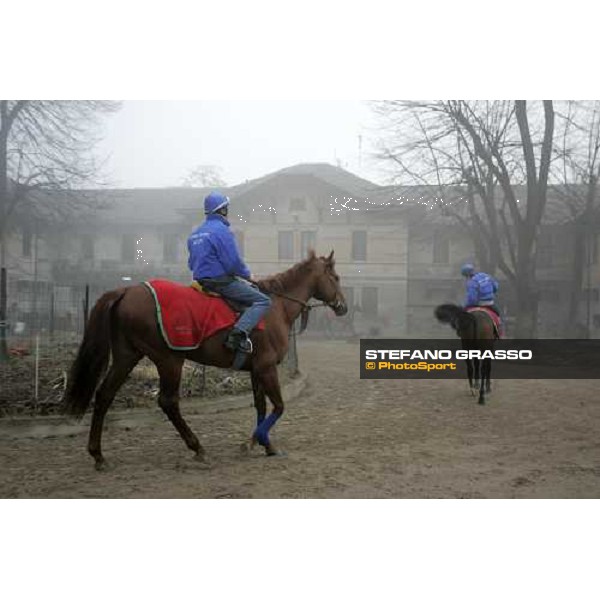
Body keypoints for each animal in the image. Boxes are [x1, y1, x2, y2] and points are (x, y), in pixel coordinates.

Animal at [62, 251, 346, 472]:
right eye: (336, 277)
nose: (342, 306)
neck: (275, 306)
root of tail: (127, 290)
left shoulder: (256, 369)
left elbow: (261, 407)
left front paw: (263, 443)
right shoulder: (266, 368)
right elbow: (278, 406)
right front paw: (255, 441)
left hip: (127, 357)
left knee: (104, 395)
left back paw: (98, 455)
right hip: (169, 360)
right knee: (168, 402)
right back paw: (197, 448)